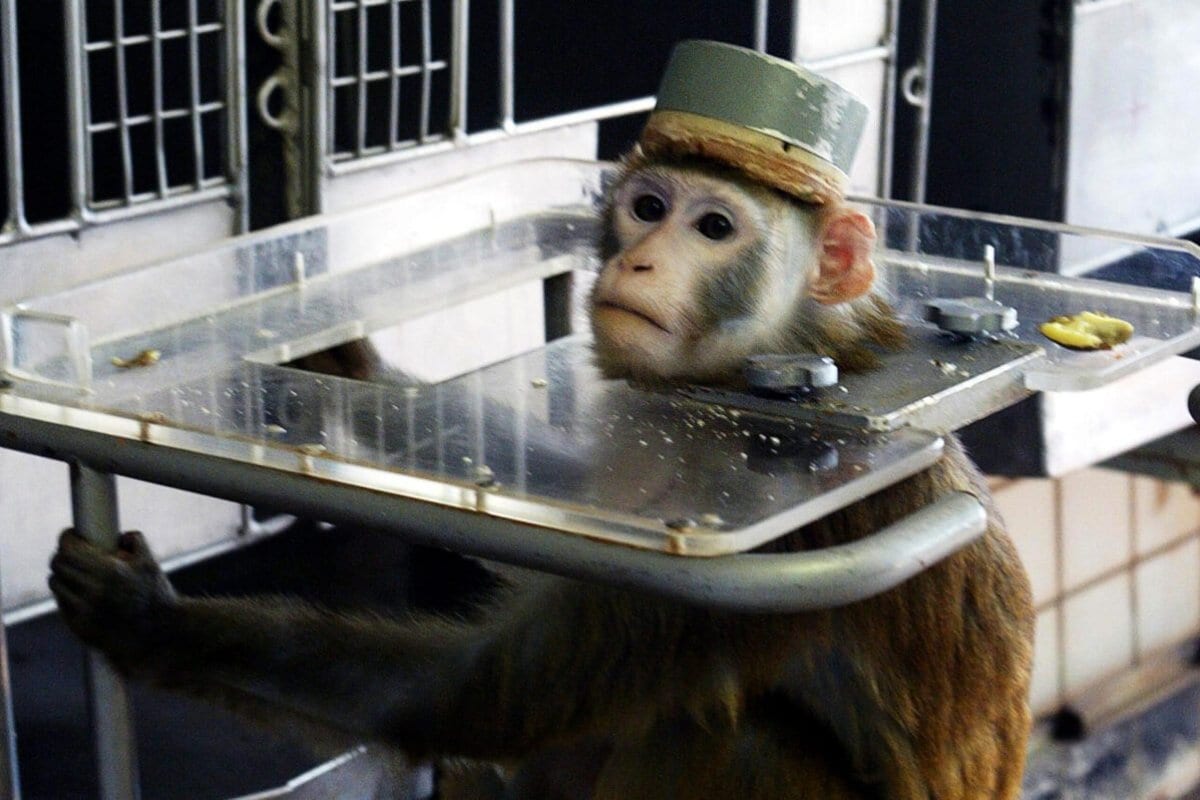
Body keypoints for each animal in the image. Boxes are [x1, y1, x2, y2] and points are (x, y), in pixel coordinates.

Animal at [48, 150, 1034, 799]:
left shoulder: (772, 522)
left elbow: (469, 697)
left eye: (714, 227)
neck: (772, 374)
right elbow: (560, 491)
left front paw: (152, 623)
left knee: (736, 740)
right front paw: (345, 361)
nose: (640, 258)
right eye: (646, 207)